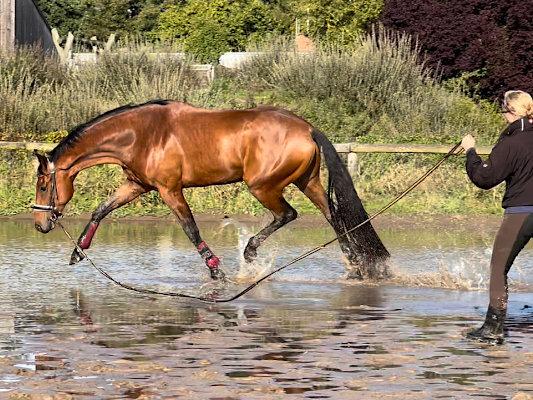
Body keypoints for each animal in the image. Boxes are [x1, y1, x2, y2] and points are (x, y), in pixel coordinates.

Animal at [33, 101, 388, 278]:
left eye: (43, 185)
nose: (40, 224)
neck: (141, 134)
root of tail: (307, 128)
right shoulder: (137, 185)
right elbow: (101, 210)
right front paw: (78, 251)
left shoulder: (169, 189)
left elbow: (190, 229)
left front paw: (216, 269)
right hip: (307, 181)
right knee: (334, 217)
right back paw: (355, 263)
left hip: (262, 186)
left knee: (287, 214)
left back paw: (250, 251)